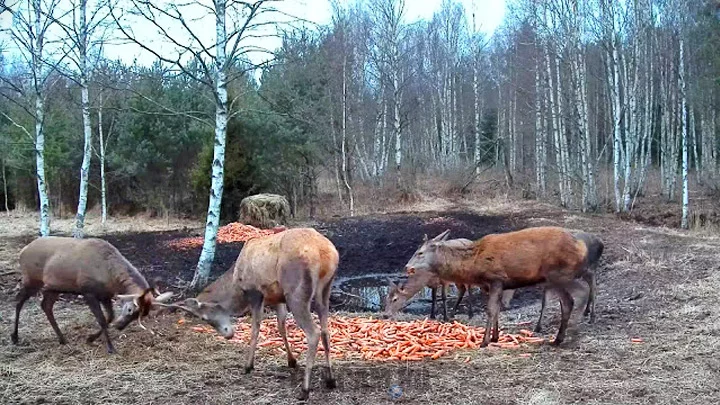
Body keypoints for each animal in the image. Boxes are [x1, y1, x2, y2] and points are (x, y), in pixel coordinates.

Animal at [12, 235, 174, 352]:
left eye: (142, 314)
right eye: (130, 309)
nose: (120, 327)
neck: (110, 277)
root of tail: (22, 251)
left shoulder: (105, 295)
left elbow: (110, 316)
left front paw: (90, 338)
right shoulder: (88, 291)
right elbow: (101, 319)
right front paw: (110, 347)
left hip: (53, 287)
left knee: (45, 305)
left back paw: (62, 339)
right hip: (31, 279)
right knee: (18, 301)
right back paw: (15, 337)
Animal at [162, 229, 340, 400]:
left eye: (204, 318)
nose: (228, 335)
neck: (235, 284)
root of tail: (326, 253)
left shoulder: (256, 293)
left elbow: (255, 329)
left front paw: (248, 365)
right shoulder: (277, 297)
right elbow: (281, 326)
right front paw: (292, 361)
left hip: (296, 292)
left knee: (314, 333)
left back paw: (305, 389)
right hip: (324, 289)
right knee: (325, 330)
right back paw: (330, 379)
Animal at [386, 226, 592, 346]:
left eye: (419, 252)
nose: (407, 267)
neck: (474, 265)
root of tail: (581, 246)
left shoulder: (496, 278)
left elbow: (491, 310)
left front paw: (484, 341)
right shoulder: (490, 285)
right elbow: (497, 310)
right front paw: (495, 337)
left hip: (559, 274)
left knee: (578, 294)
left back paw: (569, 333)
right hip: (557, 277)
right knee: (570, 299)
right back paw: (563, 335)